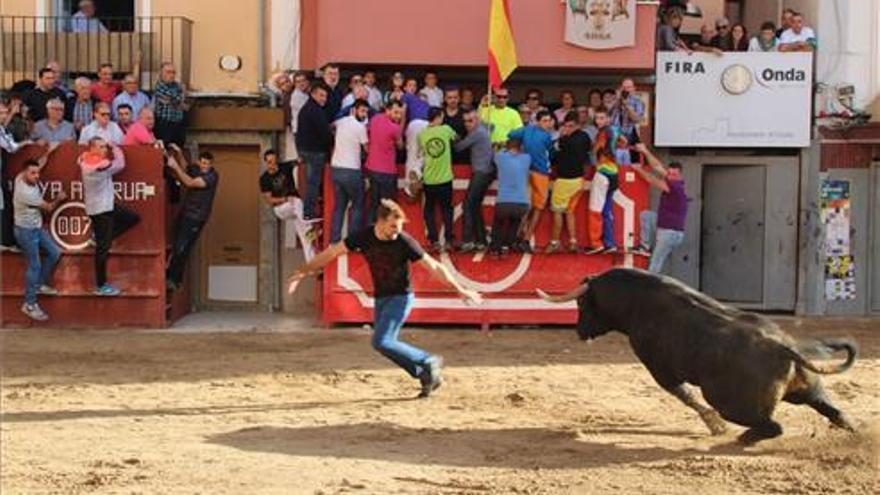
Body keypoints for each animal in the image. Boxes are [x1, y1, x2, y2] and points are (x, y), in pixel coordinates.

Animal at [540, 270, 856, 444]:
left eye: (582, 302)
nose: (579, 331)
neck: (638, 300)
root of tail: (783, 347)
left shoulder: (660, 369)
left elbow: (685, 395)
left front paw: (714, 425)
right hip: (809, 389)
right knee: (835, 411)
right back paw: (854, 431)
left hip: (734, 404)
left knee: (772, 426)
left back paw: (742, 437)